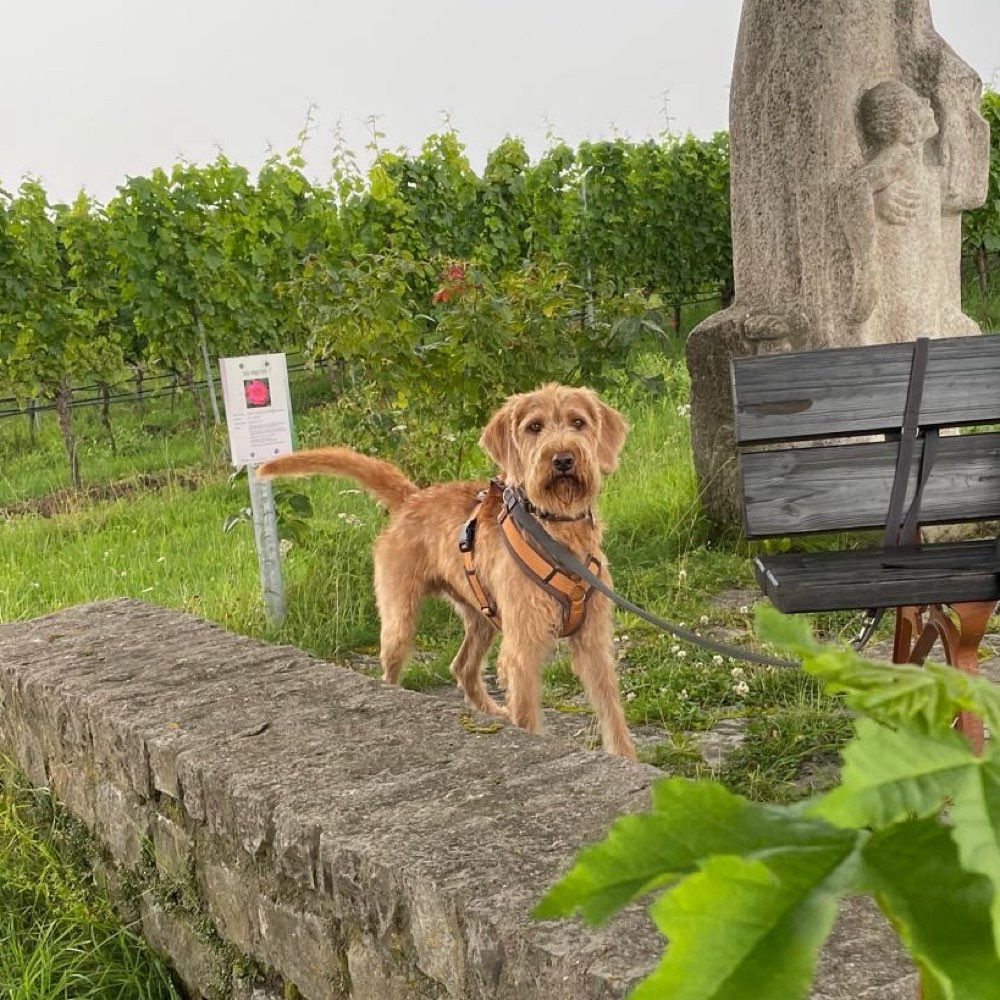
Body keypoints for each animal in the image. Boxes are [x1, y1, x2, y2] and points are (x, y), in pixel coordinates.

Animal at [258, 384, 632, 756]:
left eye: (578, 422)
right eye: (534, 427)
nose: (563, 459)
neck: (556, 530)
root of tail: (412, 498)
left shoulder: (592, 642)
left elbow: (612, 713)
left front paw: (625, 757)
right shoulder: (522, 649)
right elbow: (528, 713)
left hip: (482, 618)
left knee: (462, 666)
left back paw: (494, 712)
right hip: (400, 618)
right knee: (393, 669)